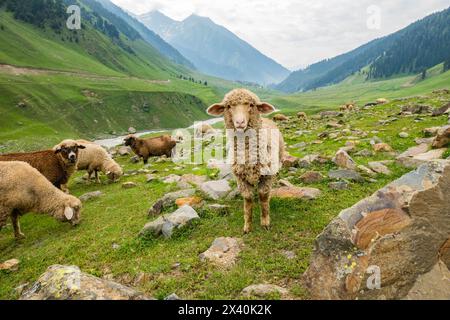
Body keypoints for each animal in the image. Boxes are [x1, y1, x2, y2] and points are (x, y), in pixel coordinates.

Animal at [207, 89, 284, 234]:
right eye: (228, 106)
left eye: (251, 105)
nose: (240, 122)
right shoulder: (241, 177)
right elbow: (248, 201)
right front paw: (247, 226)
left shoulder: (267, 175)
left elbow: (263, 196)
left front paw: (265, 222)